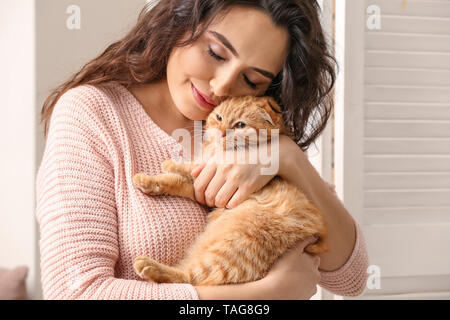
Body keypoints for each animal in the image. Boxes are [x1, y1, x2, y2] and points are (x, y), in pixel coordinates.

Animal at [130, 94, 326, 284]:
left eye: (240, 125)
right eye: (219, 118)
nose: (221, 132)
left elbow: (190, 168)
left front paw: (169, 165)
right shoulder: (204, 190)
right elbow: (177, 182)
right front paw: (148, 181)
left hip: (231, 247)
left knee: (190, 277)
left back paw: (148, 266)